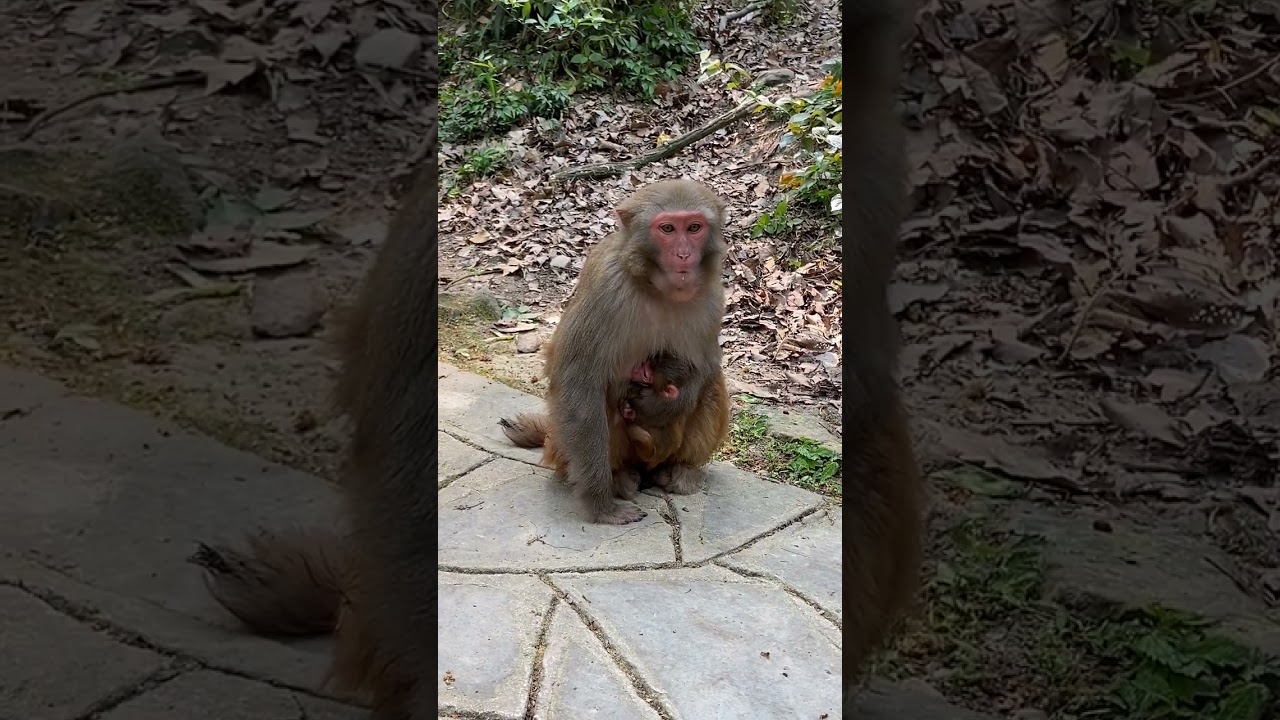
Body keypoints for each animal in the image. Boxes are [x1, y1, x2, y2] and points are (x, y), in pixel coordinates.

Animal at [498, 179, 733, 524]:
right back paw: (620, 478)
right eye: (667, 228)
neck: (655, 287)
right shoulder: (606, 289)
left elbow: (705, 365)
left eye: (694, 227)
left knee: (712, 384)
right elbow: (578, 383)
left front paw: (660, 406)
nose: (684, 254)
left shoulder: (714, 296)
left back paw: (680, 470)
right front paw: (600, 505)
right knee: (599, 400)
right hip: (566, 450)